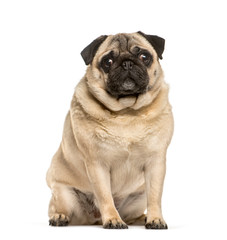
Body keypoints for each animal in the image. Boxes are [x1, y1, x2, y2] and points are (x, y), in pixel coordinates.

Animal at [46, 31, 174, 229]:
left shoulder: (156, 163)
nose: (127, 63)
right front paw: (113, 219)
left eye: (144, 57)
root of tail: (95, 219)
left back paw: (142, 217)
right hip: (64, 194)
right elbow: (105, 196)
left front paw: (155, 218)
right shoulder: (97, 164)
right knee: (58, 208)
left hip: (139, 196)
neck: (127, 112)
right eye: (108, 61)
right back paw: (59, 217)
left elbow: (155, 196)